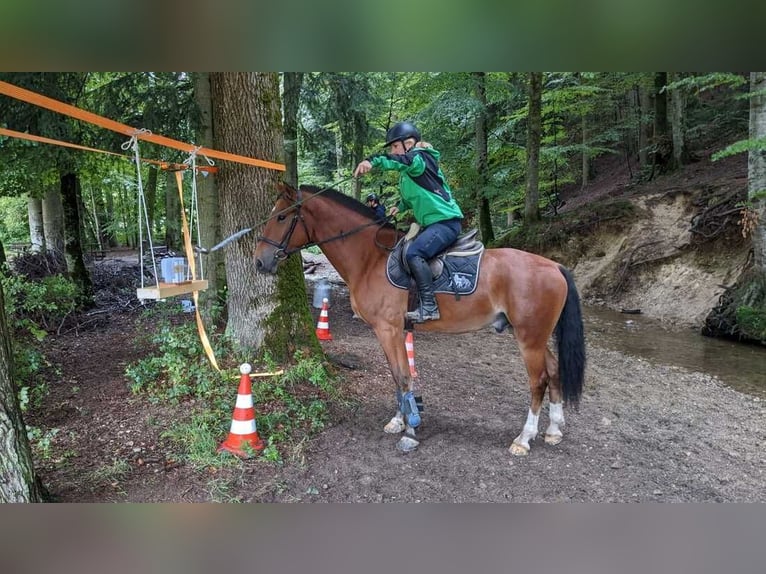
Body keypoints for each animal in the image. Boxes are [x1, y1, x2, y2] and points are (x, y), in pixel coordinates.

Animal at [255, 182, 584, 456]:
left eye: (281, 217)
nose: (260, 261)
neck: (370, 259)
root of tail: (554, 266)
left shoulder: (387, 329)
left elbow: (402, 375)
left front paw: (411, 430)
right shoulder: (397, 330)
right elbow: (399, 375)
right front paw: (400, 420)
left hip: (529, 338)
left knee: (538, 380)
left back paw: (524, 438)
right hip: (535, 335)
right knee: (554, 370)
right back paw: (553, 430)